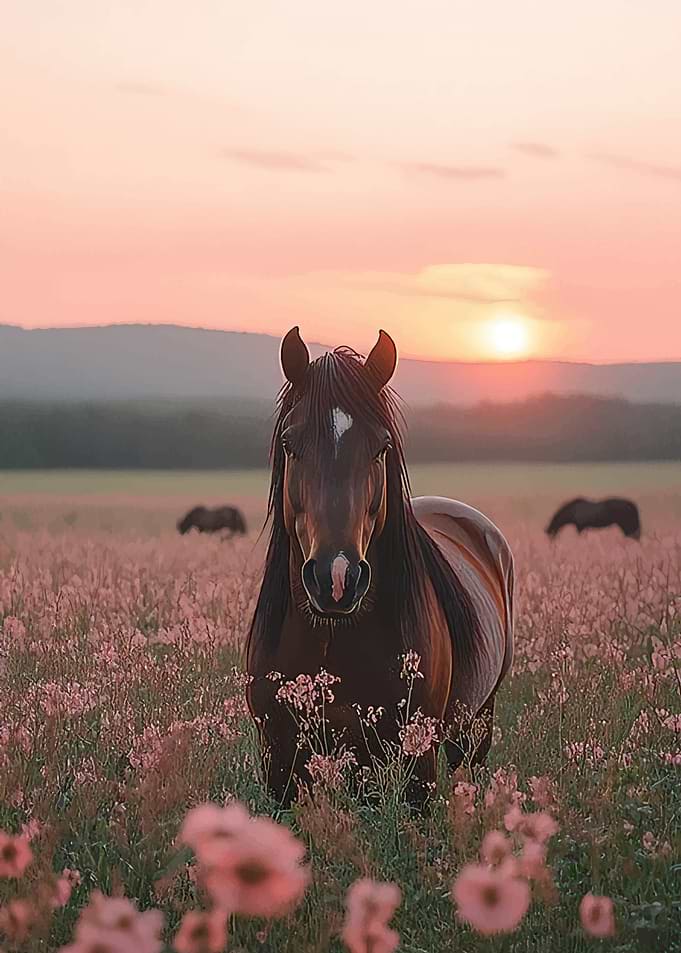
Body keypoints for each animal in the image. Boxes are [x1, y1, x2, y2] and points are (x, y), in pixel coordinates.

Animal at [246, 327, 514, 807]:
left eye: (381, 446)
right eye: (290, 444)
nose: (336, 579)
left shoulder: (418, 765)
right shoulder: (279, 765)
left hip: (476, 726)